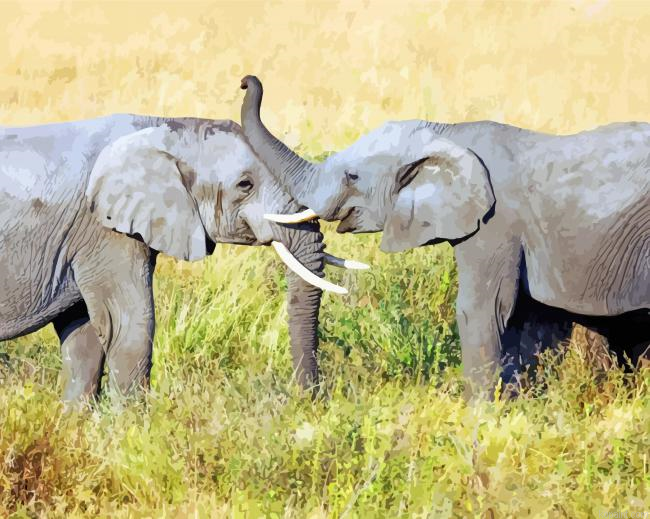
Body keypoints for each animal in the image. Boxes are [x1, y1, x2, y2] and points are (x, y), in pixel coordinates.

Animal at [0, 113, 363, 402]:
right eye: (245, 185)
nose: (309, 400)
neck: (168, 128)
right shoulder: (103, 230)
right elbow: (131, 325)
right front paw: (129, 431)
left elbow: (82, 334)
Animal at [239, 75, 650, 395]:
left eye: (352, 176)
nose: (247, 81)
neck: (446, 132)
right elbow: (527, 320)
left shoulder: (494, 224)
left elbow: (483, 309)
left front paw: (481, 419)